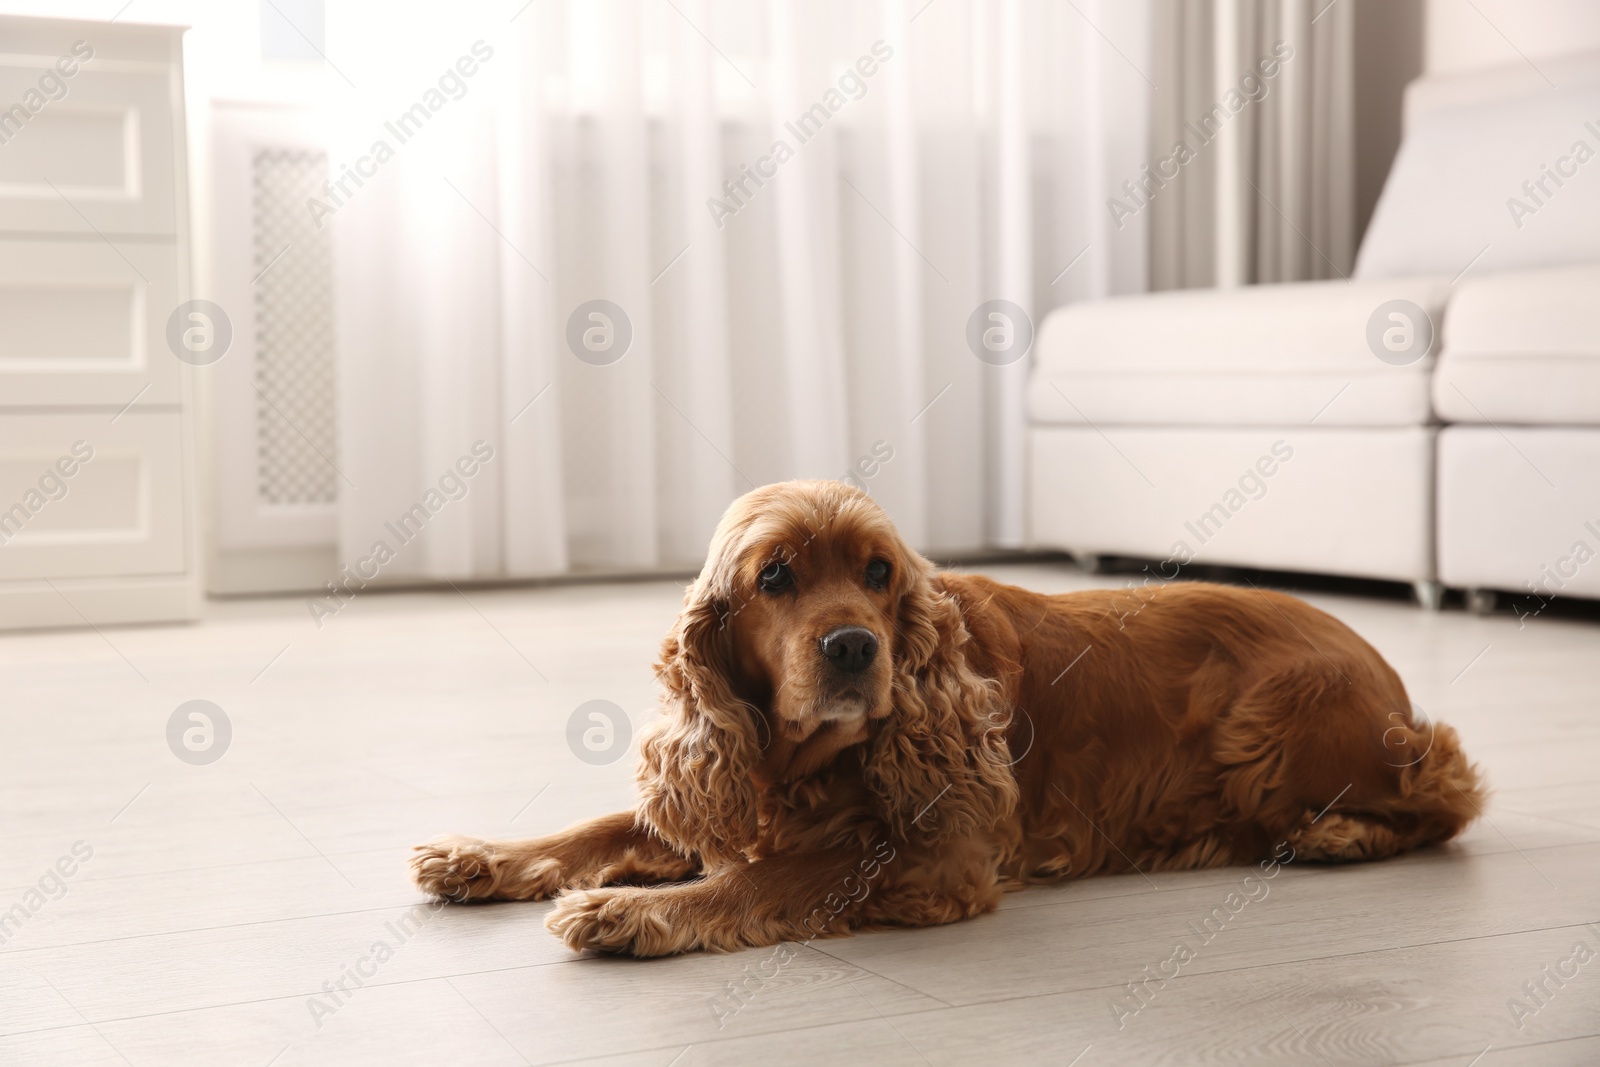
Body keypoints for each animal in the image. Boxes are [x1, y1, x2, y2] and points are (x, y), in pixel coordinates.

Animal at [412, 479, 1484, 953]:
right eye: (776, 576)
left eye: (879, 572)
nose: (855, 646)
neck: (805, 762)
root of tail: (1388, 675)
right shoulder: (733, 786)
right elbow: (603, 825)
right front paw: (479, 856)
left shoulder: (941, 856)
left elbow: (765, 879)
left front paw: (633, 912)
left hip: (1272, 727)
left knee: (1448, 792)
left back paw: (1336, 834)